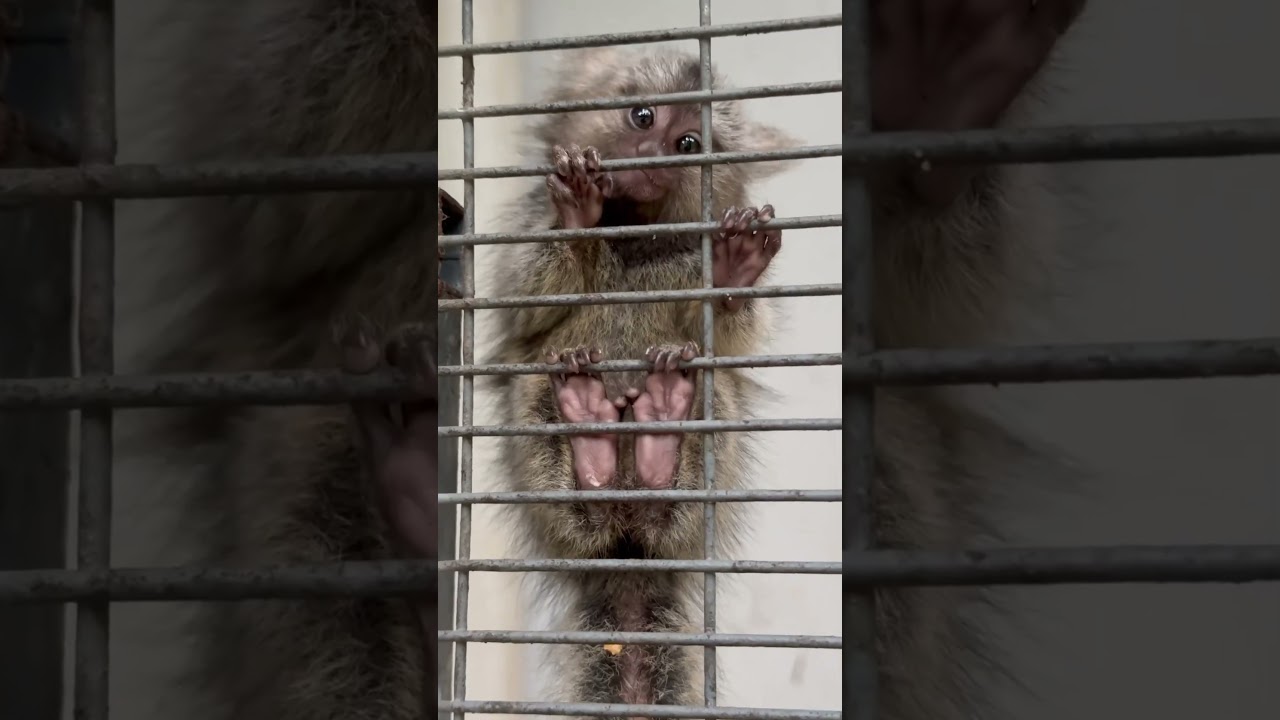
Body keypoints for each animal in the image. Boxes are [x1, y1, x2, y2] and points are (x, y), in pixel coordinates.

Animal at [486, 1, 1088, 717]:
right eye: (643, 118)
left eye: (690, 145)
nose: (651, 159)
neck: (635, 232)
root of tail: (630, 548)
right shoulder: (525, 223)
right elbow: (525, 303)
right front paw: (578, 222)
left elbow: (747, 334)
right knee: (540, 395)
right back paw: (592, 448)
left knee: (713, 400)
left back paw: (657, 440)